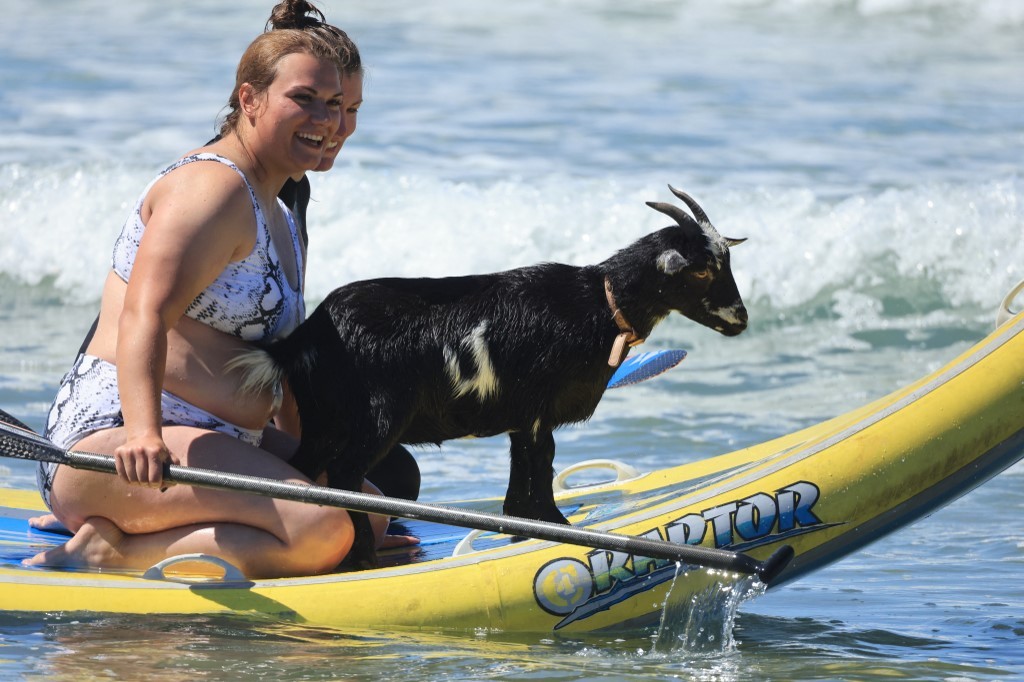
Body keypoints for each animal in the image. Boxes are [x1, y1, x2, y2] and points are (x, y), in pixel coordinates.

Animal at [231, 185, 748, 568]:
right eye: (702, 270)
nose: (741, 319)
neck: (595, 304)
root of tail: (307, 335)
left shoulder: (521, 413)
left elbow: (521, 477)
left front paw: (525, 526)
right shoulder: (540, 407)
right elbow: (542, 465)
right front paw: (560, 526)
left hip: (321, 418)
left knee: (305, 469)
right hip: (377, 416)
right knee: (343, 475)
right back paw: (362, 555)